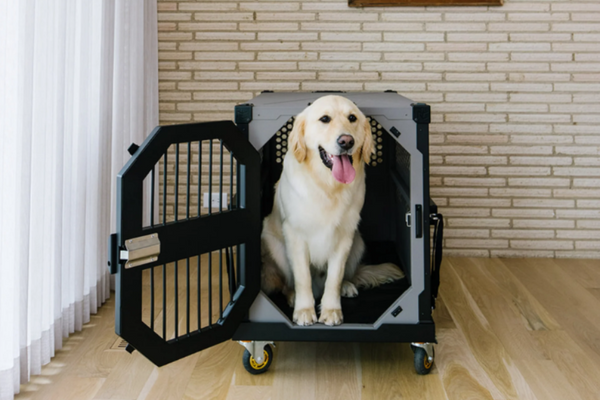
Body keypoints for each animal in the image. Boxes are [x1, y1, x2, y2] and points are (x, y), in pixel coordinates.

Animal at [258, 95, 404, 326]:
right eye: (324, 119)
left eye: (352, 118)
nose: (346, 141)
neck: (328, 185)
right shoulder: (295, 235)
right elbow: (302, 278)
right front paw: (304, 310)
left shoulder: (344, 236)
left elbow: (334, 278)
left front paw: (331, 311)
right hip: (274, 245)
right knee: (286, 283)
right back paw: (292, 296)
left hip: (357, 242)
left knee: (342, 276)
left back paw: (347, 286)